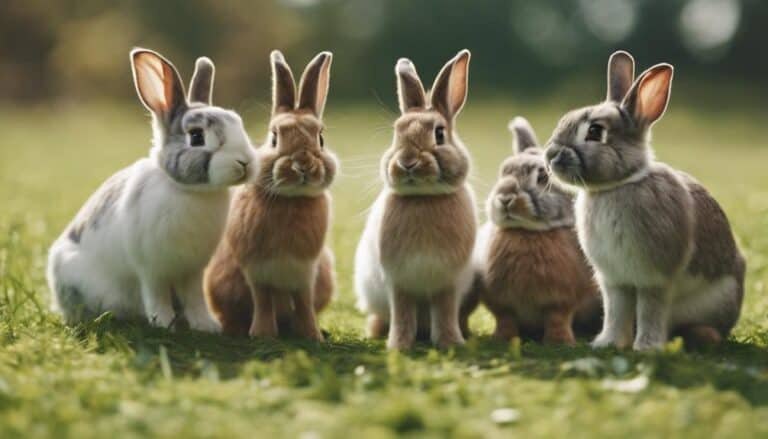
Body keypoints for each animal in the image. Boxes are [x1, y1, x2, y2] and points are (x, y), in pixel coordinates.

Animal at [46, 48, 256, 331]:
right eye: (197, 137)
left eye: (238, 123)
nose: (245, 162)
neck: (189, 190)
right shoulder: (152, 269)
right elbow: (156, 295)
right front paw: (164, 323)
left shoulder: (193, 271)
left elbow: (195, 298)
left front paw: (206, 325)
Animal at [204, 51, 337, 341]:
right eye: (274, 137)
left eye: (321, 138)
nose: (302, 165)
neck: (291, 199)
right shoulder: (257, 271)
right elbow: (263, 301)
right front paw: (262, 334)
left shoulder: (305, 271)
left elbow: (303, 302)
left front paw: (312, 335)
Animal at [354, 50, 477, 350]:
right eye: (396, 134)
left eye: (440, 134)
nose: (407, 162)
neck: (424, 198)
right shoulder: (399, 282)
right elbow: (402, 313)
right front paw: (398, 346)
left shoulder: (447, 283)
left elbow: (445, 312)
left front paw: (451, 343)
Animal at [472, 116, 601, 345]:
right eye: (503, 172)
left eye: (542, 178)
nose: (505, 198)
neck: (525, 232)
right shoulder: (501, 303)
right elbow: (505, 319)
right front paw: (502, 339)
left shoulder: (562, 300)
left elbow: (558, 318)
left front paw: (559, 341)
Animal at [544, 51, 745, 351]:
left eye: (594, 132)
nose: (550, 156)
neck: (615, 186)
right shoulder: (615, 280)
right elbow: (616, 311)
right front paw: (607, 343)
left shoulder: (654, 278)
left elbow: (650, 310)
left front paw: (646, 349)